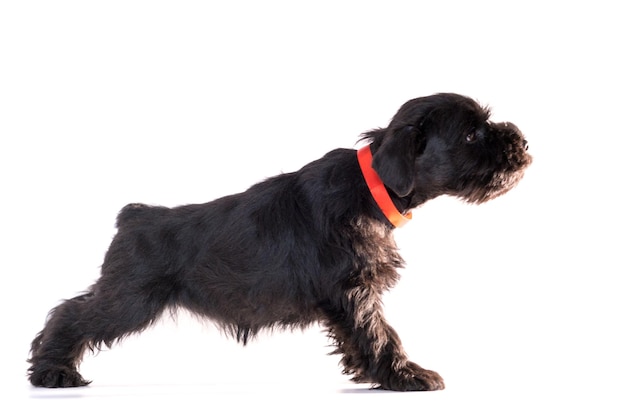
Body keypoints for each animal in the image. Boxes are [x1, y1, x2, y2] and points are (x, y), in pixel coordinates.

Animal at [26, 92, 528, 390]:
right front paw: (407, 375)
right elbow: (380, 333)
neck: (371, 188)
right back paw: (53, 371)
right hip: (130, 298)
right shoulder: (354, 292)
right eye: (471, 133)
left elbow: (366, 336)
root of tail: (133, 216)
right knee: (71, 314)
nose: (522, 142)